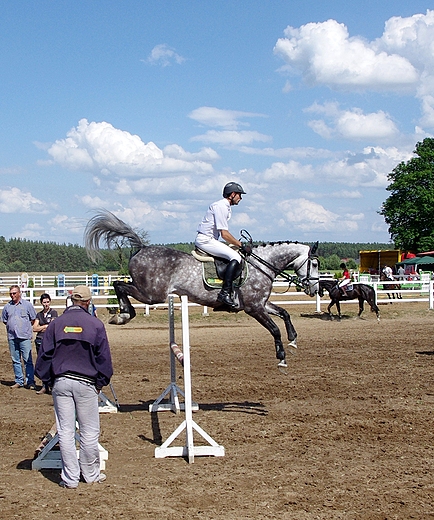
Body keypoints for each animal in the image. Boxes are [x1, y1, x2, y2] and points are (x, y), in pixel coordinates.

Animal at [85, 210, 322, 366]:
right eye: (315, 264)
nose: (314, 289)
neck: (262, 265)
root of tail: (142, 248)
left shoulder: (261, 303)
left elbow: (284, 313)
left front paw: (293, 339)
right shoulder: (254, 308)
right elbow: (274, 329)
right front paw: (281, 356)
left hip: (151, 293)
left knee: (120, 286)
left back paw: (122, 314)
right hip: (152, 294)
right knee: (119, 285)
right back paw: (123, 315)